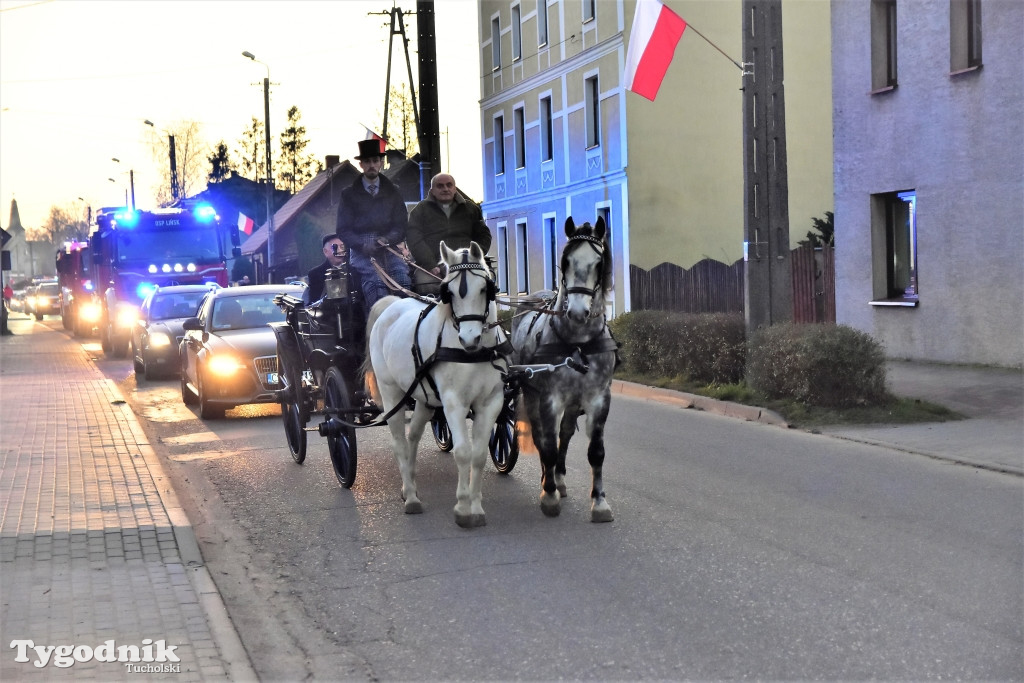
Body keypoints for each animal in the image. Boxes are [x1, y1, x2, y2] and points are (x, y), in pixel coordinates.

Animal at [366, 244, 509, 528]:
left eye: (484, 288)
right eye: (449, 293)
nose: (469, 339)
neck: (473, 353)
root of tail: (392, 304)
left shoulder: (491, 403)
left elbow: (479, 455)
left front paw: (476, 507)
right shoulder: (454, 403)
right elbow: (463, 452)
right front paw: (463, 508)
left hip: (423, 397)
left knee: (413, 436)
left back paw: (408, 485)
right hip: (391, 393)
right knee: (399, 442)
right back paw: (411, 498)